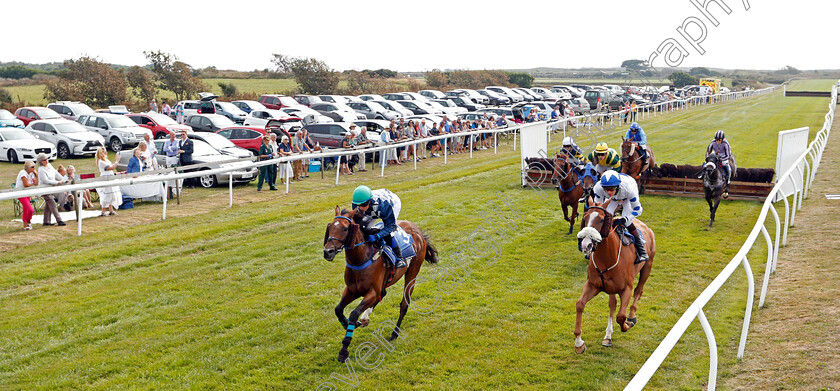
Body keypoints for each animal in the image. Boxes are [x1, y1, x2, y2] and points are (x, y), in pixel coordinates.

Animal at [324, 207, 440, 362]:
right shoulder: (351, 290)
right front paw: (352, 323)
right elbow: (338, 309)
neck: (360, 259)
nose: (327, 251)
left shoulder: (372, 292)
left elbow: (354, 313)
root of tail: (417, 229)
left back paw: (394, 334)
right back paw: (365, 317)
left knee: (404, 304)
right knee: (383, 293)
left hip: (412, 272)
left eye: (345, 228)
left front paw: (344, 351)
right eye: (330, 227)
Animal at [572, 201, 656, 354]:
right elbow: (580, 304)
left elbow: (621, 316)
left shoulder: (626, 288)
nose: (586, 244)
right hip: (611, 287)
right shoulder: (592, 285)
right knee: (613, 304)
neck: (607, 257)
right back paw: (608, 336)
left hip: (647, 267)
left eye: (600, 220)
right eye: (585, 218)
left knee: (638, 291)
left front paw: (627, 324)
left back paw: (632, 316)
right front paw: (579, 343)